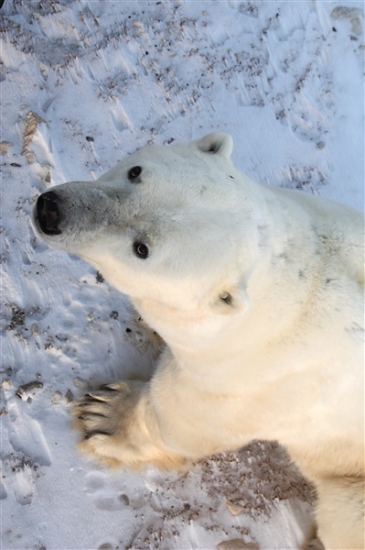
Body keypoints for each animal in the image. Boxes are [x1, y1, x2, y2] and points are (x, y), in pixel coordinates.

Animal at [34, 135, 362, 550]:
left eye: (142, 249)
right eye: (135, 171)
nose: (51, 211)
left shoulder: (253, 382)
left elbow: (180, 420)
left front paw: (104, 414)